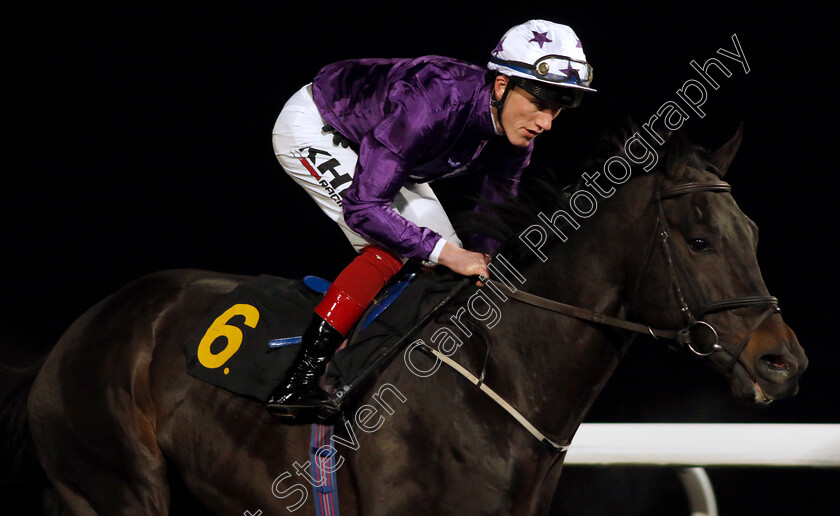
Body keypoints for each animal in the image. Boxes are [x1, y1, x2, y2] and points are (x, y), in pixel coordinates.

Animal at [8, 124, 808, 512]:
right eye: (700, 240)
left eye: (753, 232)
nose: (784, 362)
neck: (495, 374)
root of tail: (72, 337)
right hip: (115, 487)